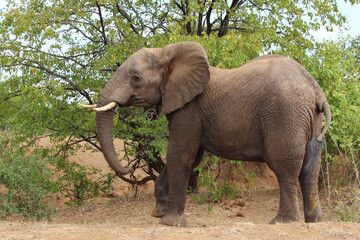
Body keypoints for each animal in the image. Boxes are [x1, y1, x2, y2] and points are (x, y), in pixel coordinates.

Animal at [82, 41, 332, 227]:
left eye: (135, 78)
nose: (128, 167)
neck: (167, 54)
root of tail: (317, 90)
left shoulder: (190, 109)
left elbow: (179, 155)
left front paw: (170, 223)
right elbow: (192, 158)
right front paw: (159, 212)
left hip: (285, 115)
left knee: (285, 167)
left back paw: (283, 222)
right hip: (309, 118)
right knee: (310, 167)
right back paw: (314, 221)